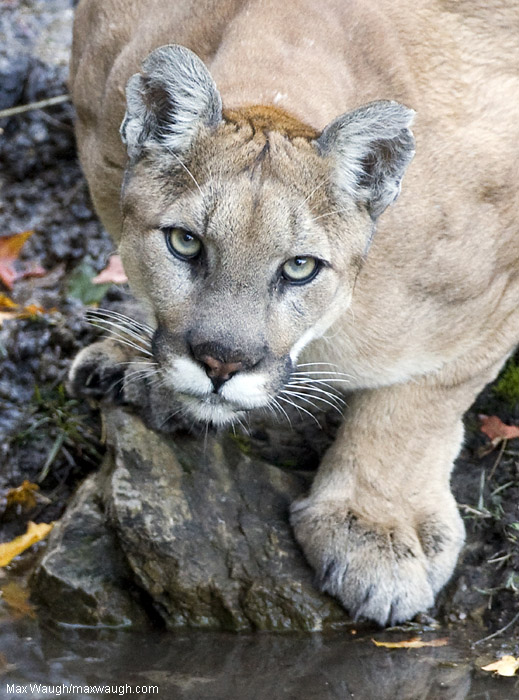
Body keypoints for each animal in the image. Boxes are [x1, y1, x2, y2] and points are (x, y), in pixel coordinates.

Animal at [69, 0, 519, 625]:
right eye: (185, 243)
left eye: (300, 267)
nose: (221, 363)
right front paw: (136, 357)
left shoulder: (490, 287)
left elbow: (421, 400)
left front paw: (375, 530)